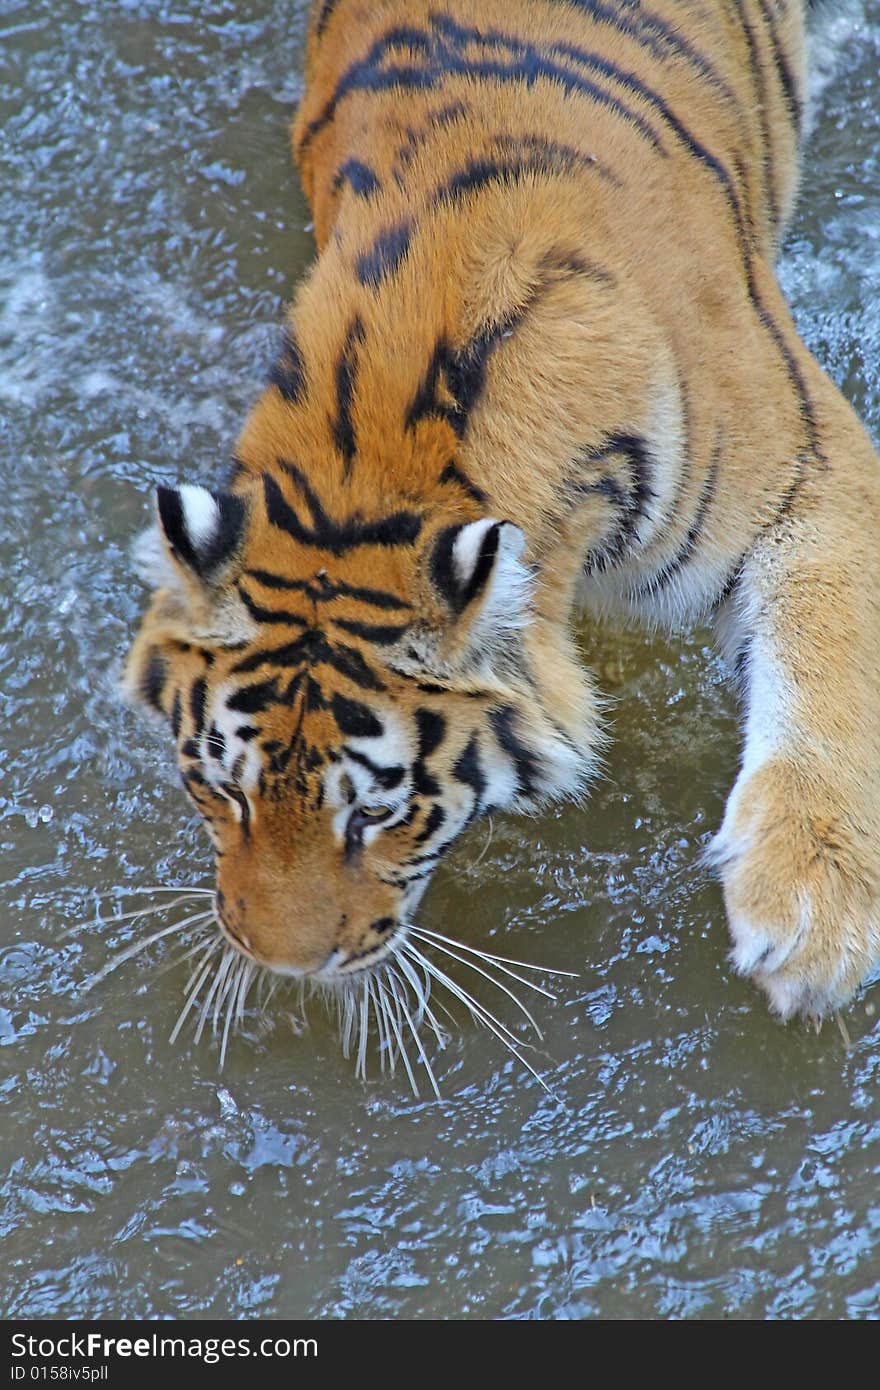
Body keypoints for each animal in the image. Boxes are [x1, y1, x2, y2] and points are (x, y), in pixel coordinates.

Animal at [123, 0, 878, 1034]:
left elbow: (827, 662)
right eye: (220, 790)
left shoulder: (810, 470)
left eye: (374, 814)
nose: (281, 964)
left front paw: (811, 918)